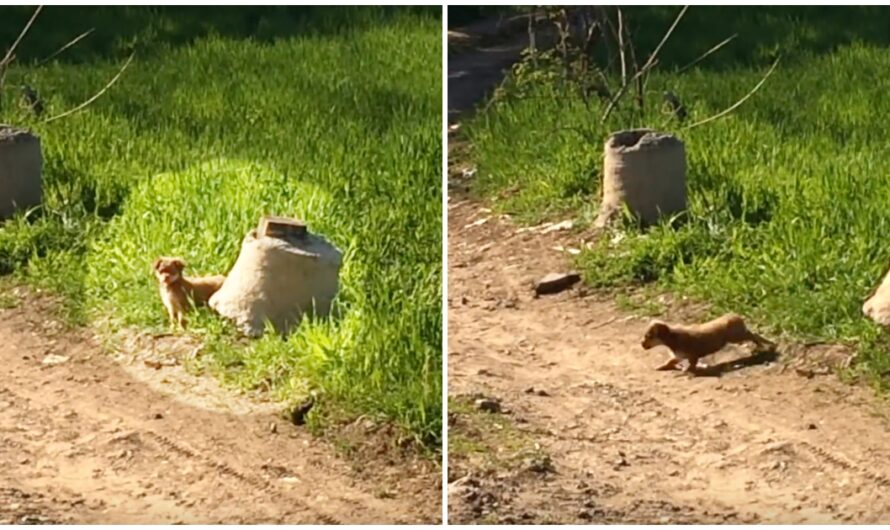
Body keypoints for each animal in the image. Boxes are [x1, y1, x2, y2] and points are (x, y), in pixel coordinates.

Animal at [640, 314, 772, 372]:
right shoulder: (678, 355)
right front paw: (660, 366)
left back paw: (766, 344)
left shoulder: (692, 353)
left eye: (648, 336)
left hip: (736, 336)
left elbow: (692, 363)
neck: (672, 339)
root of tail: (736, 316)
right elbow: (670, 361)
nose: (641, 344)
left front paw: (687, 369)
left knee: (753, 334)